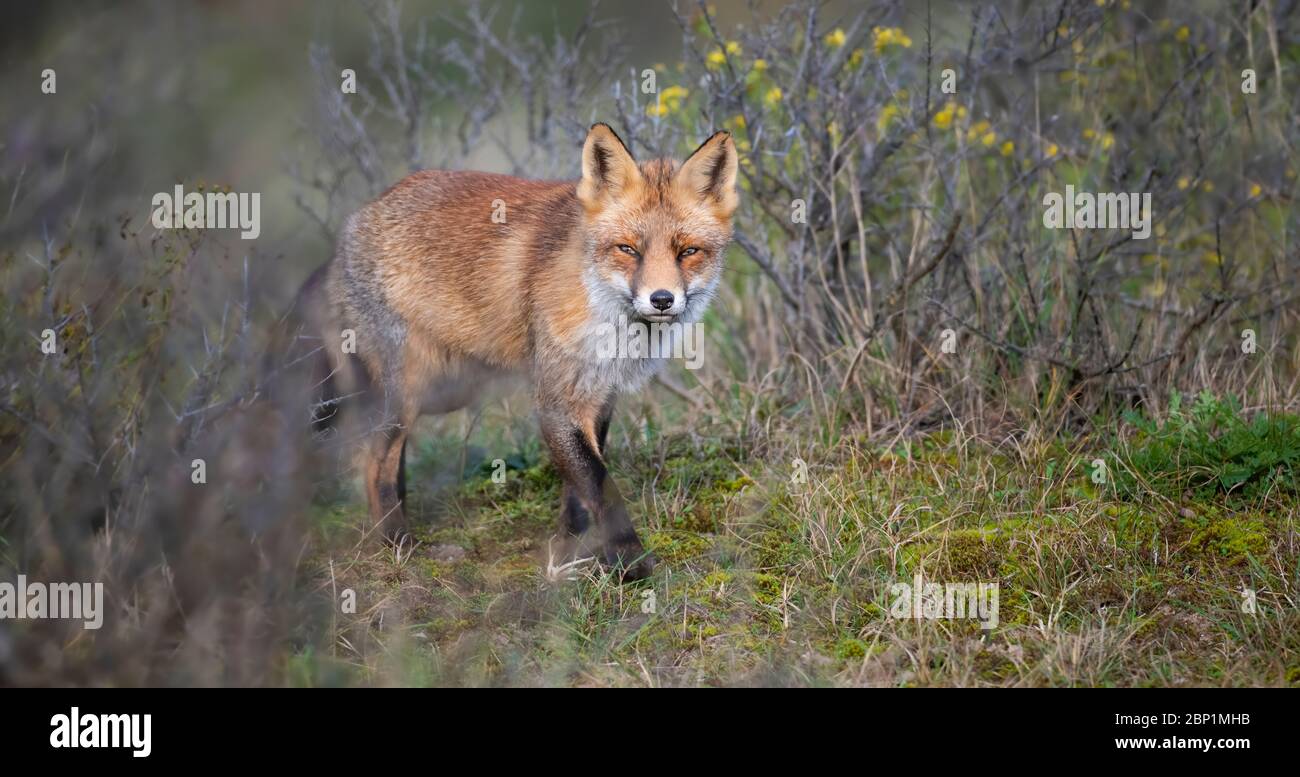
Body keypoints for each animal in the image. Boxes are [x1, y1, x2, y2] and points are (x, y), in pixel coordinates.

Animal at [296, 124, 743, 582]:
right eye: (628, 249)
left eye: (688, 252)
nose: (661, 299)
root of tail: (351, 226)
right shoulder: (555, 399)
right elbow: (599, 482)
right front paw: (630, 562)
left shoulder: (598, 396)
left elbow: (579, 487)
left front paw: (568, 550)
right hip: (410, 389)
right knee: (371, 461)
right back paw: (398, 546)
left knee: (387, 456)